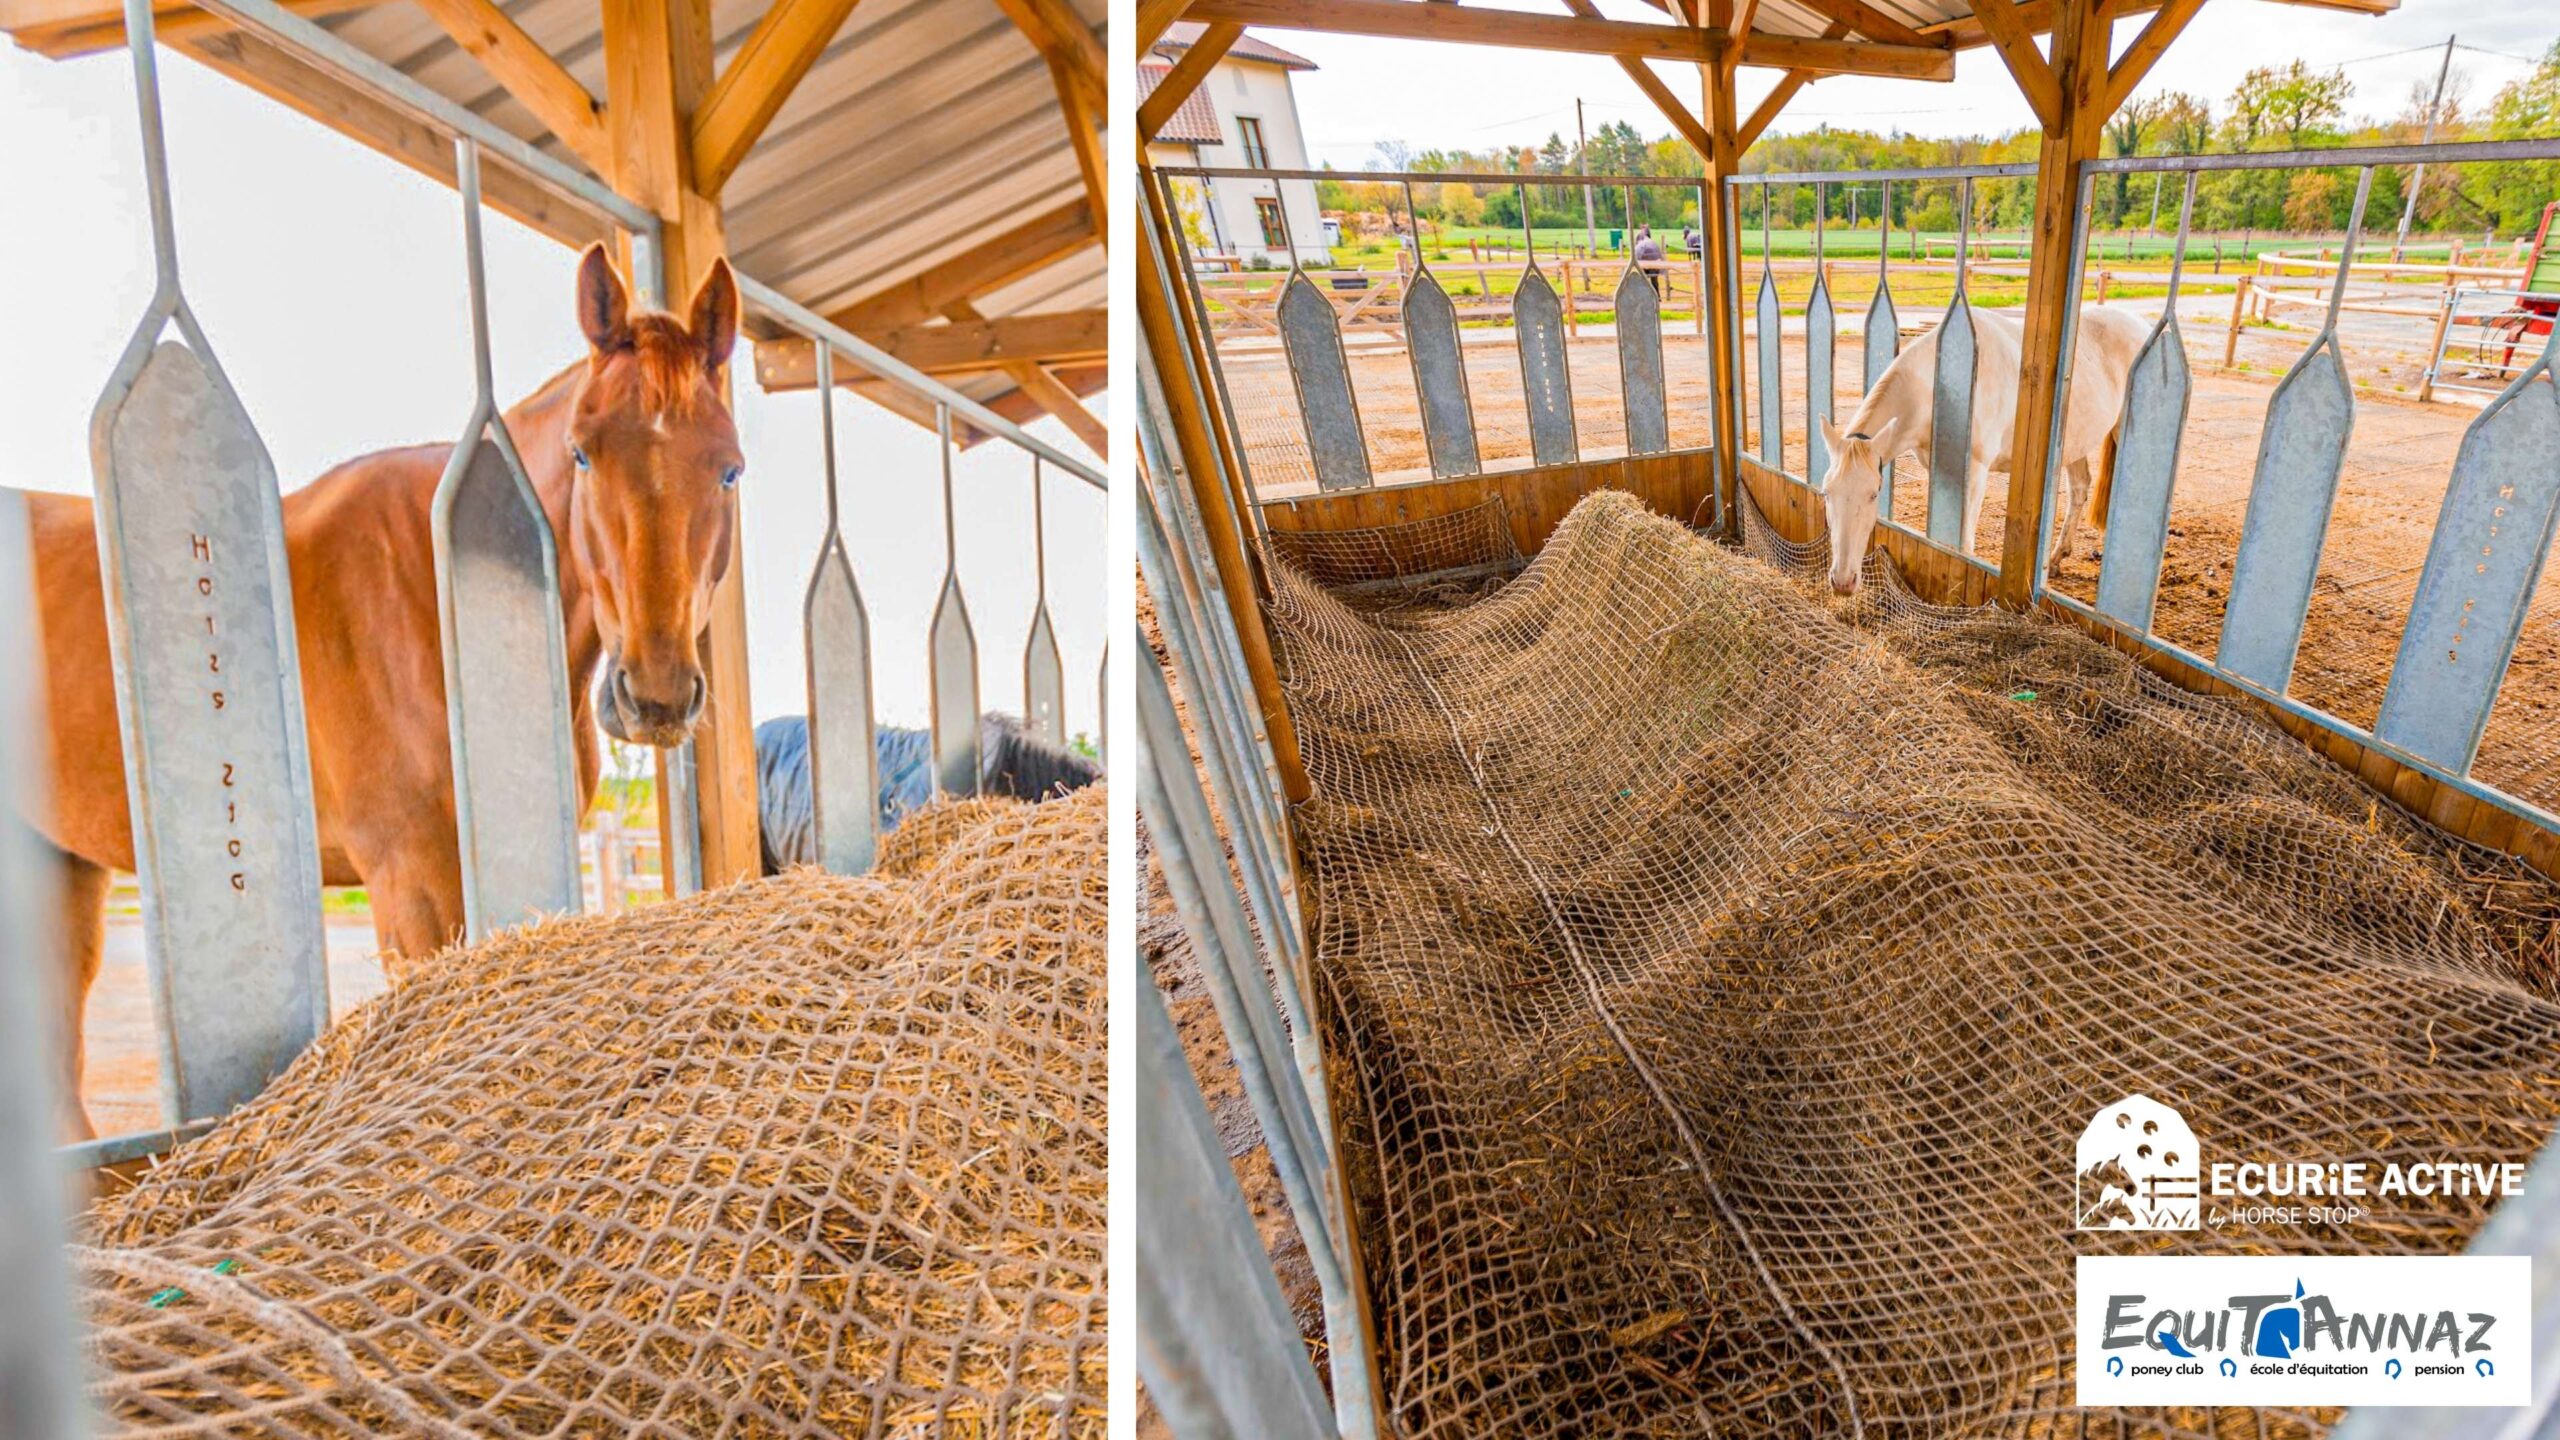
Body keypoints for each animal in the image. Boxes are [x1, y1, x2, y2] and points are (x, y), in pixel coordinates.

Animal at [17, 252, 742, 1137]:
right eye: (582, 454)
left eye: (730, 467)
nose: (657, 696)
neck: (432, 587)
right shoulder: (414, 883)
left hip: (65, 864)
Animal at [1822, 302, 2160, 594]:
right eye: (1826, 493)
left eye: (1873, 494)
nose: (1843, 581)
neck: (1937, 388)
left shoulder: (1975, 473)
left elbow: (1963, 545)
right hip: (2072, 441)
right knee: (2079, 489)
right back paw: (2055, 559)